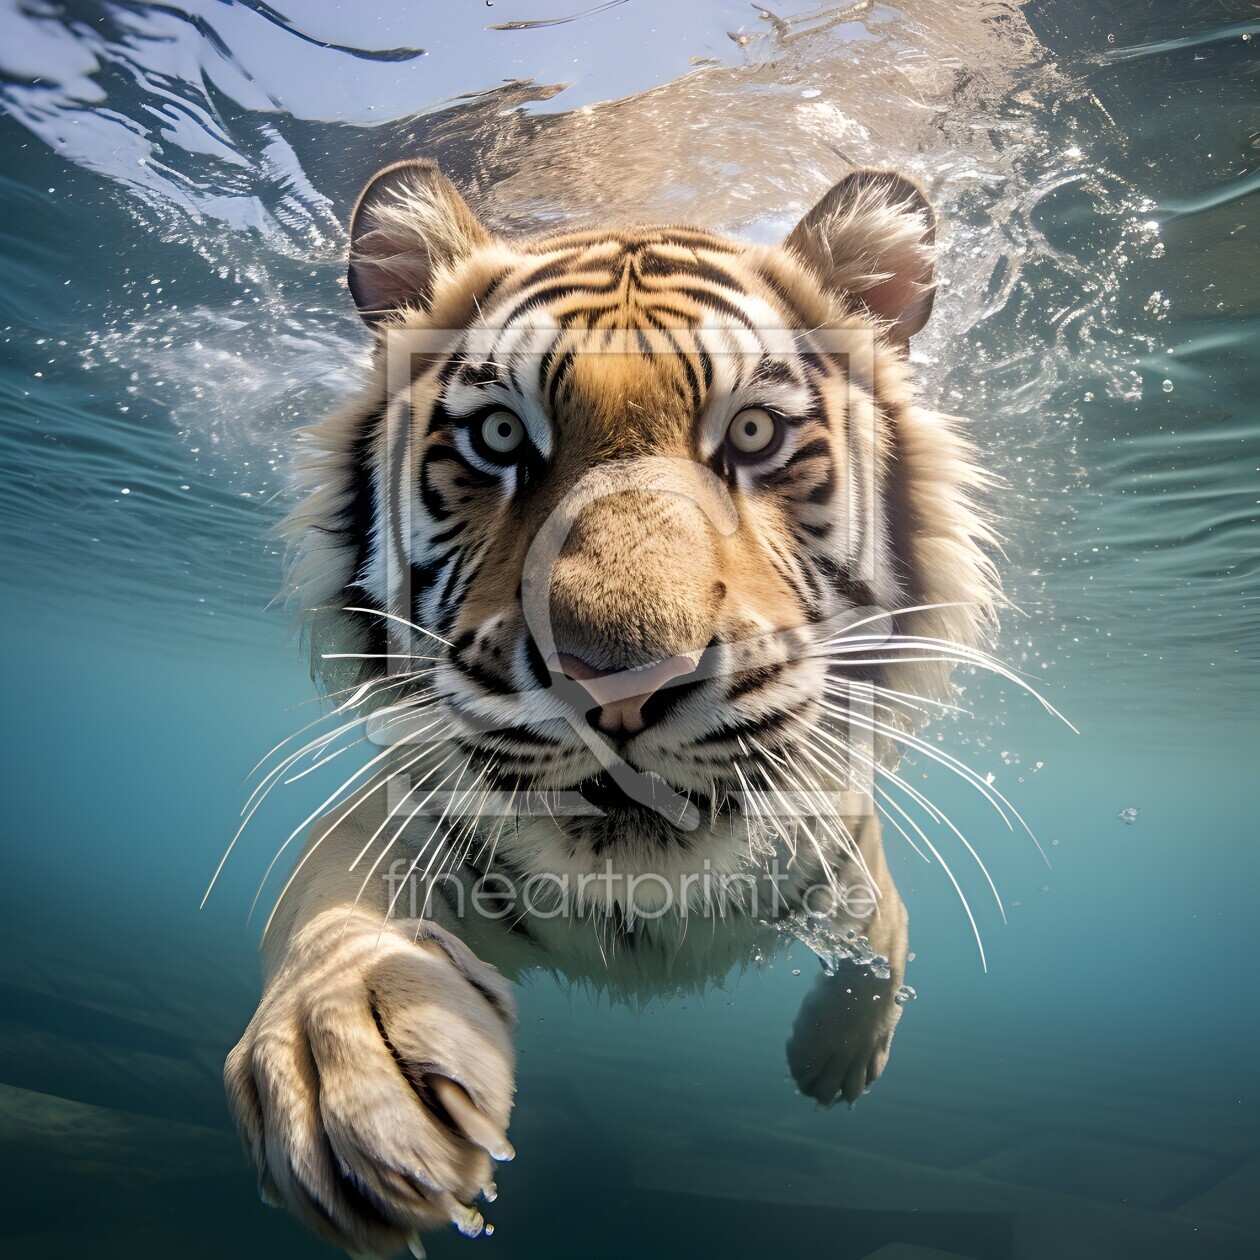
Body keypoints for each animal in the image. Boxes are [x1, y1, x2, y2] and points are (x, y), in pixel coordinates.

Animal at [223, 158, 998, 1258]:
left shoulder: (845, 843)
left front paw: (837, 1063)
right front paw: (351, 1078)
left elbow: (879, 939)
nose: (620, 678)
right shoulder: (399, 814)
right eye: (501, 435)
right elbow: (327, 905)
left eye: (754, 433)